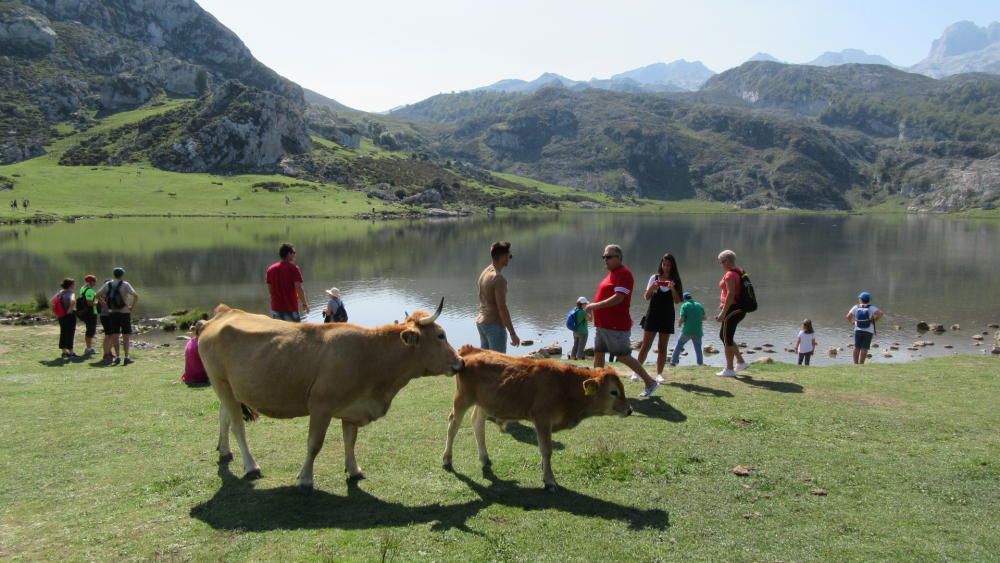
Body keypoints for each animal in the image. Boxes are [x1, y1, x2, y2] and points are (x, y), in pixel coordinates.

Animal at [199, 300, 464, 490]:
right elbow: (314, 443)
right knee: (237, 425)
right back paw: (251, 465)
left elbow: (350, 440)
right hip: (219, 381)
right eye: (440, 335)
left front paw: (354, 470)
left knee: (223, 416)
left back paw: (224, 450)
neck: (371, 355)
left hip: (230, 388)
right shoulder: (321, 406)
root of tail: (224, 313)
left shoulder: (353, 407)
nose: (460, 362)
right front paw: (305, 479)